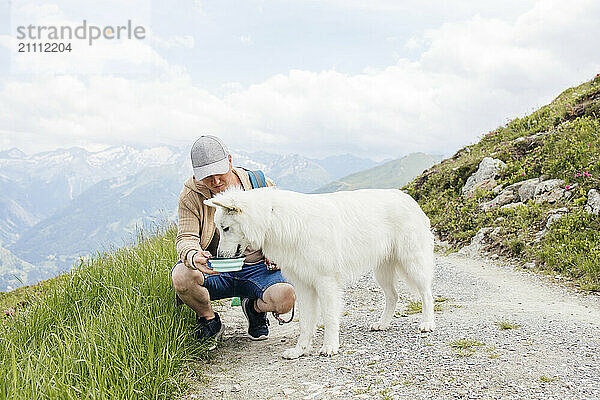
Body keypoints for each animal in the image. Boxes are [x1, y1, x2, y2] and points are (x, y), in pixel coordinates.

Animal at [204, 188, 434, 360]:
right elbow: (306, 323)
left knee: (427, 293)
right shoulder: (304, 286)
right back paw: (383, 324)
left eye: (225, 228)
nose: (219, 256)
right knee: (393, 296)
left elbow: (330, 317)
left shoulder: (326, 282)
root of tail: (408, 198)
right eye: (219, 228)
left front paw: (330, 346)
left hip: (412, 263)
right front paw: (300, 350)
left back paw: (427, 323)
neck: (274, 217)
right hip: (382, 270)